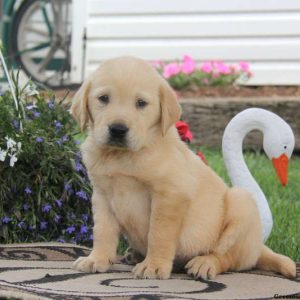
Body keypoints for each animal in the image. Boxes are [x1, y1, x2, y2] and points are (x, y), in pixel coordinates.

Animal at [71, 55, 296, 278]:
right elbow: (102, 232)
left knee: (227, 257)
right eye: (103, 98)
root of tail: (258, 246)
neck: (122, 155)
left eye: (141, 103)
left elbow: (159, 234)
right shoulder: (102, 195)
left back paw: (205, 263)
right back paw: (134, 254)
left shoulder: (170, 195)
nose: (118, 129)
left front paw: (153, 265)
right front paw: (97, 259)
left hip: (242, 203)